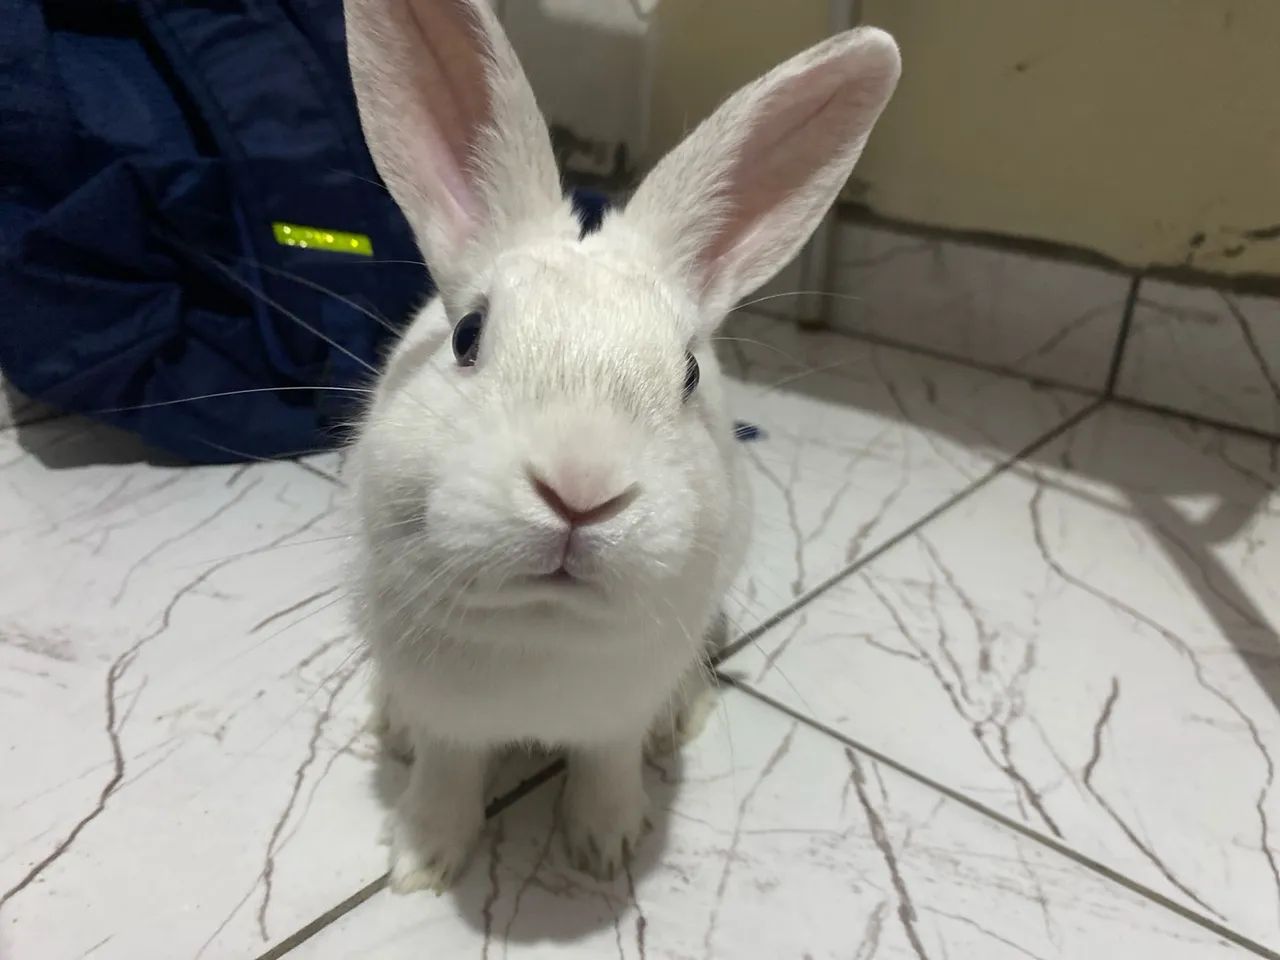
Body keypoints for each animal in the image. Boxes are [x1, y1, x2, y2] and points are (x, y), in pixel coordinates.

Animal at [343, 0, 900, 892]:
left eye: (690, 373)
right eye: (468, 337)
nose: (580, 490)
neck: (544, 630)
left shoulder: (613, 721)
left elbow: (606, 766)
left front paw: (606, 849)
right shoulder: (448, 723)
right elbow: (445, 772)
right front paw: (422, 862)